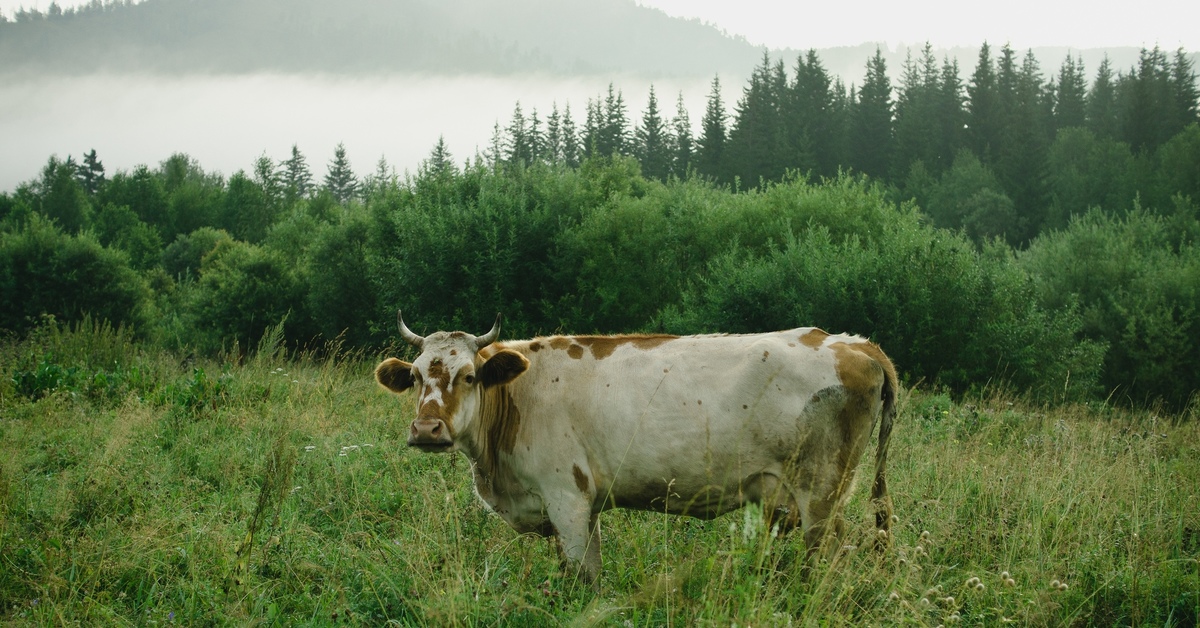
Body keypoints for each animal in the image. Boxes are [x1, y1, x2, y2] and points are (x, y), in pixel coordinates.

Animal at [372, 314, 892, 590]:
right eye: (415, 376)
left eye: (469, 376)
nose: (427, 429)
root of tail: (854, 343)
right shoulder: (582, 505)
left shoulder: (566, 496)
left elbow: (581, 574)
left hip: (821, 492)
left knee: (833, 554)